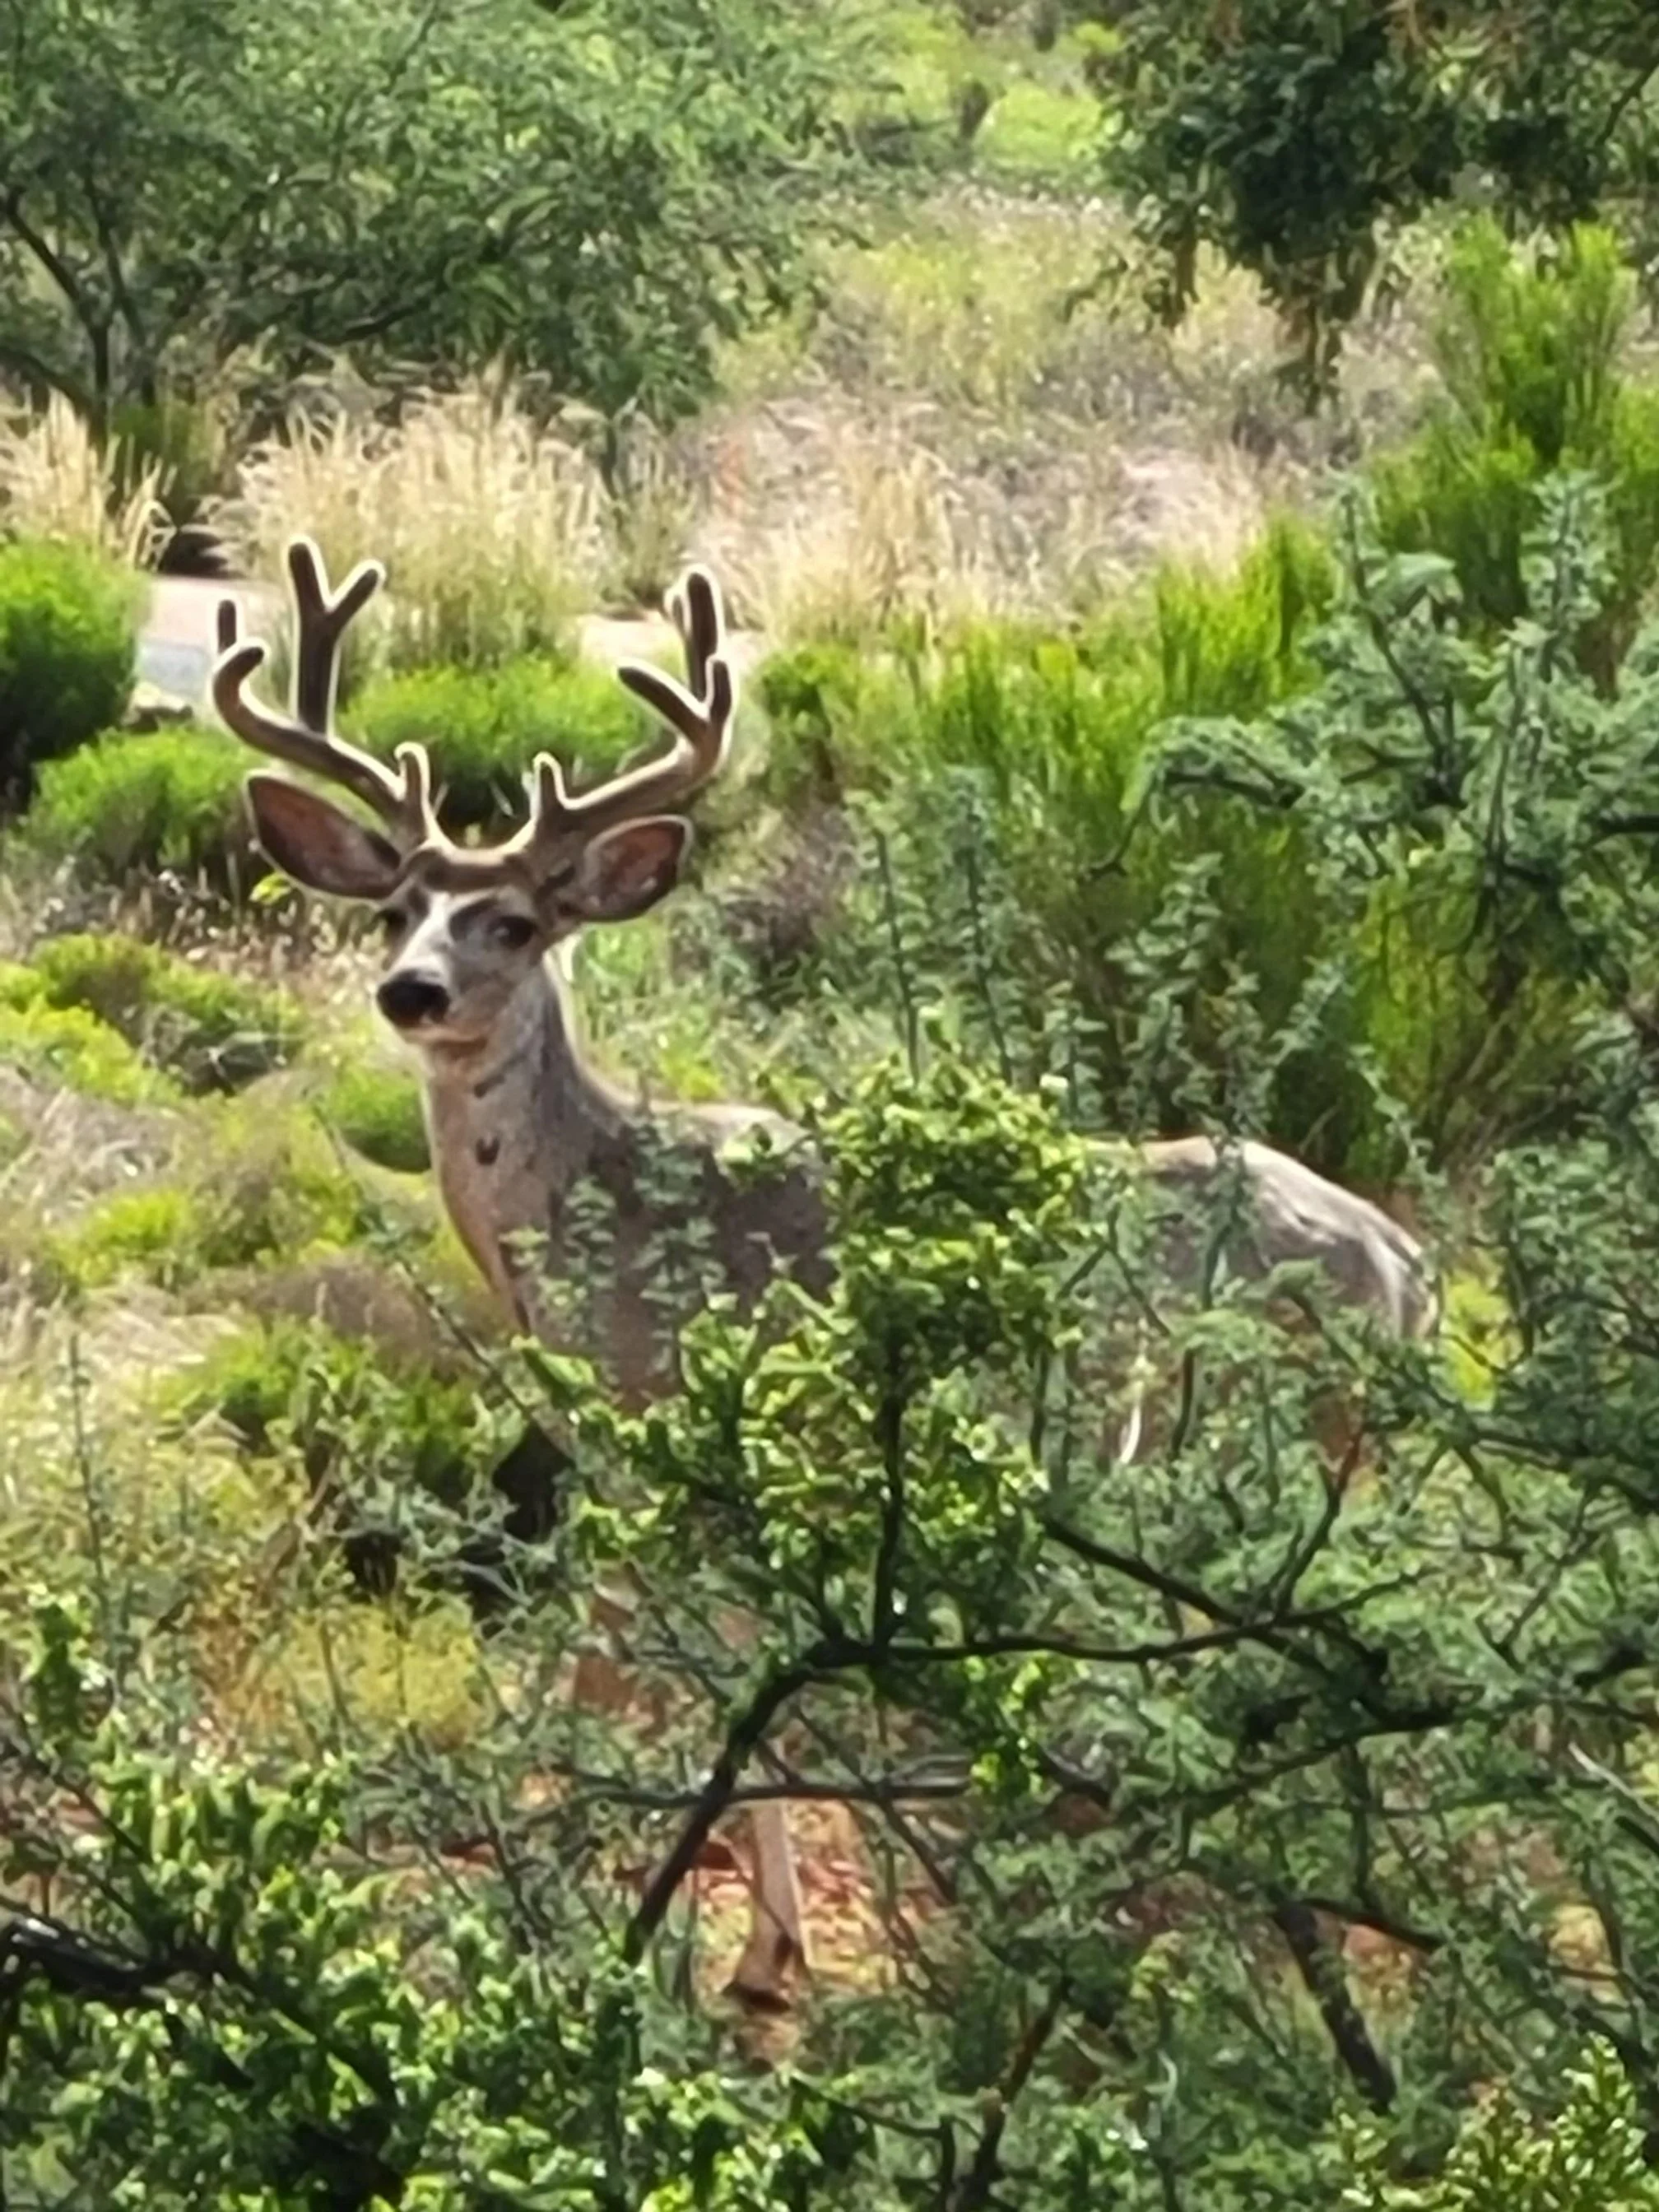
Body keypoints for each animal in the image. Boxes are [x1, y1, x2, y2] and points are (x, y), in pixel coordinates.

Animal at [211, 536, 1439, 2016]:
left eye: (510, 921)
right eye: (397, 908)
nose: (411, 990)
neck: (595, 1212)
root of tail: (1407, 1261)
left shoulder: (673, 1436)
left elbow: (635, 1676)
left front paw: (652, 1927)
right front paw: (766, 1949)